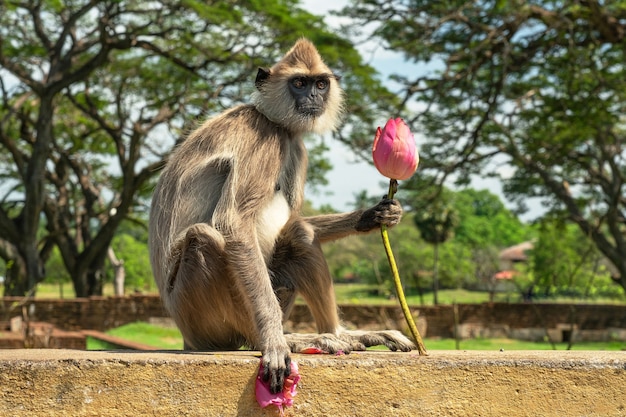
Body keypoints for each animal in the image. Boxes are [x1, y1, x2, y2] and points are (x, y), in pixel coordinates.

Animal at [147, 39, 414, 394]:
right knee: (203, 238)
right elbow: (233, 223)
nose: (313, 97)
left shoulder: (295, 145)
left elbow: (296, 221)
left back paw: (339, 334)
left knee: (300, 233)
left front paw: (375, 215)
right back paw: (286, 339)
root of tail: (184, 334)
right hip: (201, 315)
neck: (272, 119)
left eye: (320, 84)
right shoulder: (264, 135)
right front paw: (274, 342)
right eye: (299, 83)